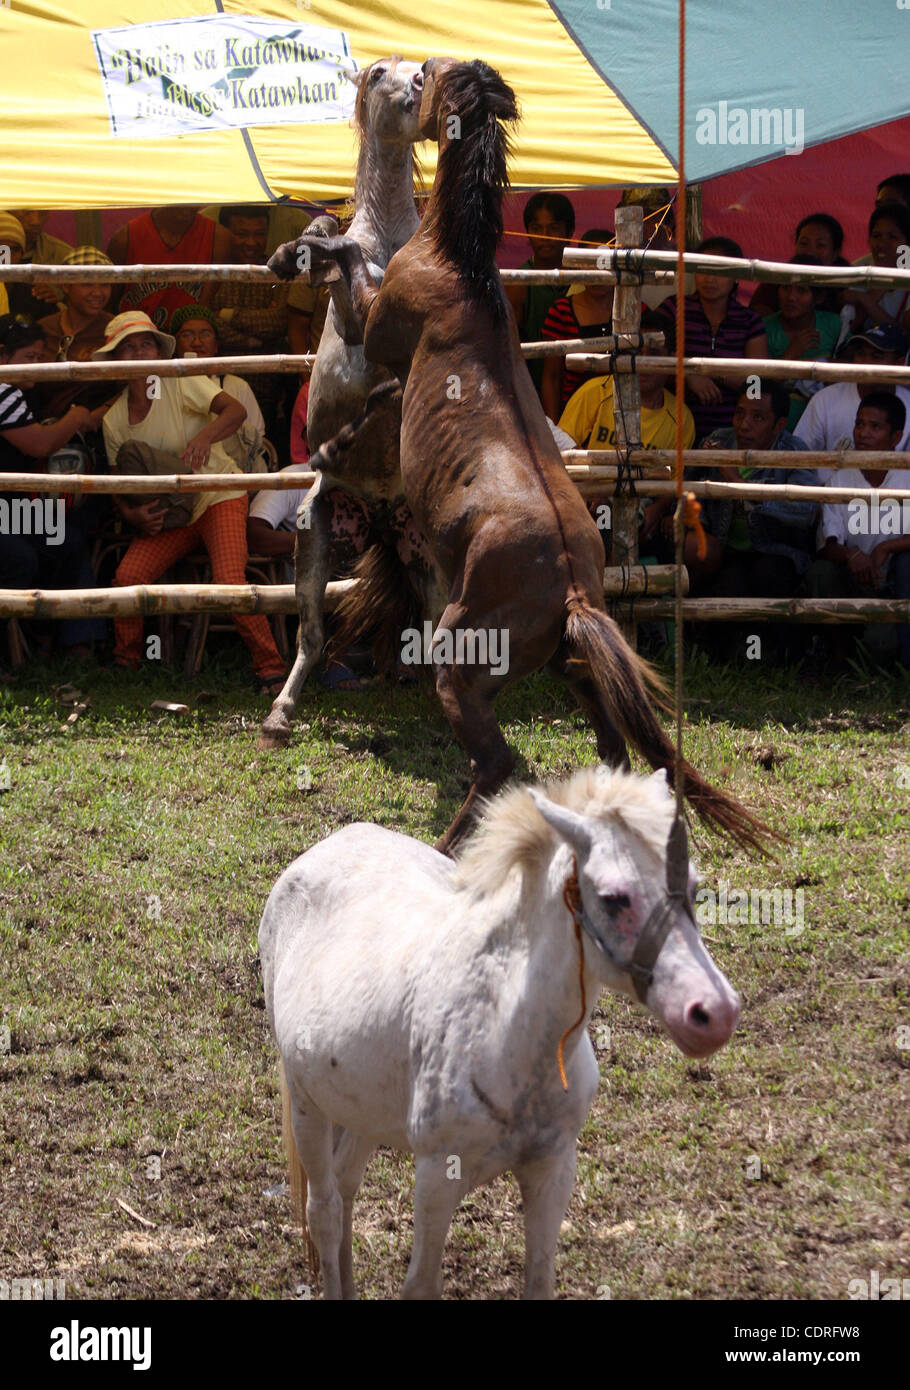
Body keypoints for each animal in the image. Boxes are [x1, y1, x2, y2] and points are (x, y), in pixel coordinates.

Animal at [259, 767, 744, 1295]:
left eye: (693, 887)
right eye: (614, 899)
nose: (714, 1011)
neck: (503, 1034)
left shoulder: (553, 1170)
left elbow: (538, 1281)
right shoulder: (437, 1176)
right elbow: (420, 1284)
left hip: (361, 1108)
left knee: (346, 1188)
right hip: (307, 1103)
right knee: (324, 1212)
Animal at [290, 59, 766, 856]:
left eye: (422, 77)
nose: (406, 79)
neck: (459, 265)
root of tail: (572, 590)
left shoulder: (377, 325)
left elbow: (356, 268)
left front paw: (322, 243)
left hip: (463, 664)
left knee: (498, 762)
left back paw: (447, 853)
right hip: (573, 665)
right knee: (610, 749)